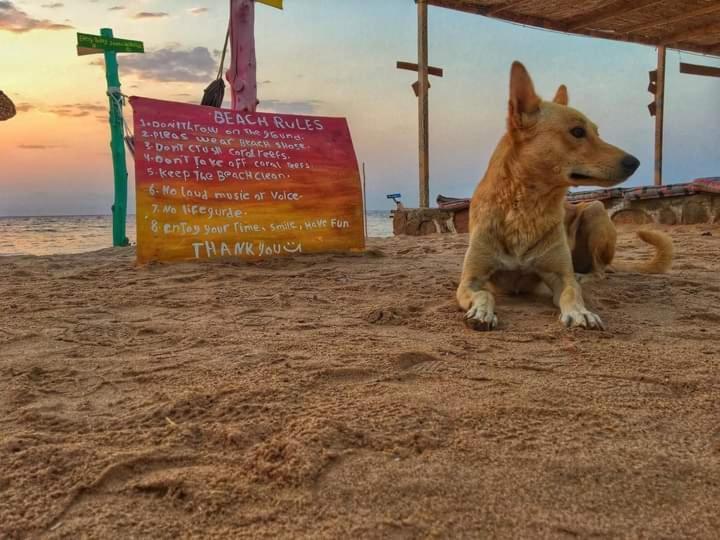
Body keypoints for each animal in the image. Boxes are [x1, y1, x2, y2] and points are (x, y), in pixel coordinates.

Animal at [458, 61, 672, 332]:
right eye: (578, 132)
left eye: (596, 132)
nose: (635, 163)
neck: (525, 209)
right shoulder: (470, 280)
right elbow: (484, 293)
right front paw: (481, 313)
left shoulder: (560, 276)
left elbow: (572, 293)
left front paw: (581, 312)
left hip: (595, 210)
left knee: (599, 270)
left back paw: (585, 276)